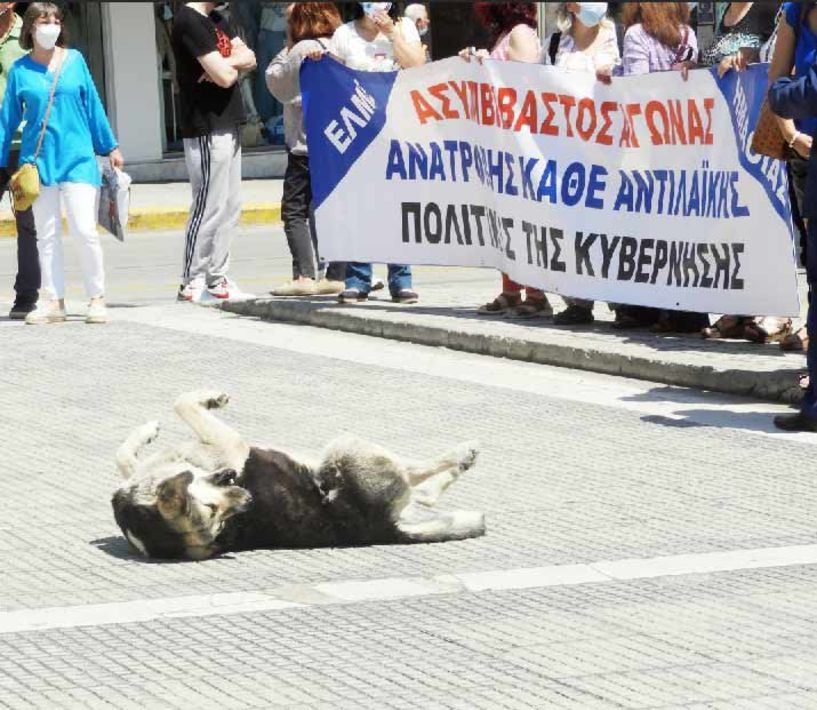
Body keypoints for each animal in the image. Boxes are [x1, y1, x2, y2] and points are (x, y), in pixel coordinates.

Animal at [111, 390, 488, 560]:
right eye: (214, 512)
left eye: (221, 519)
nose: (248, 498)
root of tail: (384, 529)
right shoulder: (231, 445)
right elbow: (182, 404)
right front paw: (210, 398)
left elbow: (124, 455)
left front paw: (147, 431)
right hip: (347, 447)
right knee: (418, 479)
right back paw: (462, 455)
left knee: (422, 492)